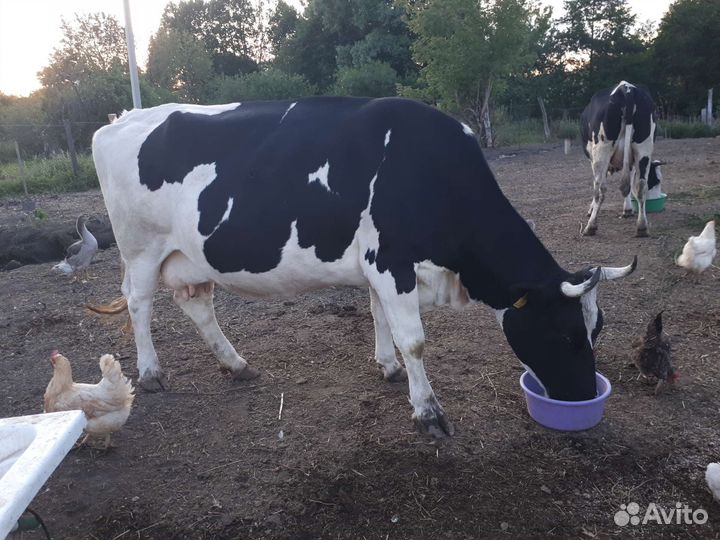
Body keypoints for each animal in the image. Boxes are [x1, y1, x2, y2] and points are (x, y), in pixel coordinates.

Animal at [92, 97, 636, 438]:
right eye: (566, 334)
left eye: (597, 331)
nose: (583, 396)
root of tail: (119, 120)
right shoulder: (391, 260)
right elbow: (414, 339)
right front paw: (428, 412)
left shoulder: (379, 265)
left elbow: (380, 318)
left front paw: (388, 368)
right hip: (140, 247)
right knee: (139, 303)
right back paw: (151, 372)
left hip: (191, 255)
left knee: (198, 305)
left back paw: (237, 364)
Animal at [580, 81, 657, 237]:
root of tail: (626, 88)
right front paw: (627, 209)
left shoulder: (592, 159)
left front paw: (591, 210)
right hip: (643, 148)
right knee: (640, 186)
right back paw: (642, 227)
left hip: (601, 149)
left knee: (600, 189)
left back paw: (591, 226)